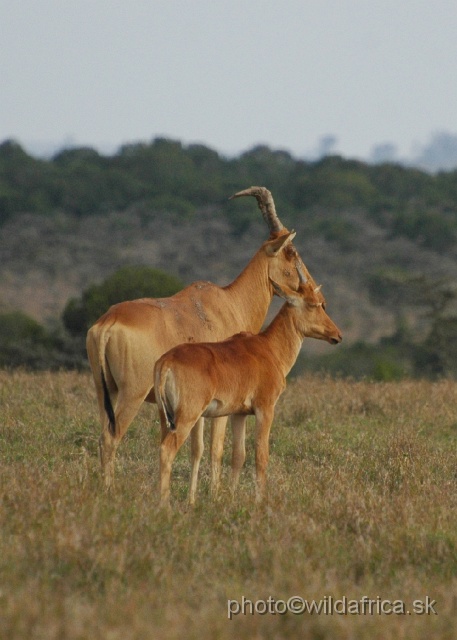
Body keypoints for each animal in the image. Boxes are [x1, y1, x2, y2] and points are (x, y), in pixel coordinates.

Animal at [85, 186, 320, 496]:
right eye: (292, 253)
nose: (314, 290)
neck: (228, 301)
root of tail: (108, 322)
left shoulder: (198, 408)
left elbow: (196, 449)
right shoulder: (222, 406)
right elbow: (216, 450)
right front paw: (216, 496)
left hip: (105, 392)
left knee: (102, 437)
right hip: (132, 393)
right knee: (112, 439)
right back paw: (110, 491)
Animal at [155, 268, 340, 508]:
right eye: (314, 303)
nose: (337, 335)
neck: (267, 348)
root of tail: (166, 361)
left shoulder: (238, 414)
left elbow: (238, 455)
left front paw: (231, 498)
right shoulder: (265, 409)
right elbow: (261, 455)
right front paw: (261, 501)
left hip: (165, 417)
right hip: (187, 417)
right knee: (167, 450)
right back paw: (164, 505)